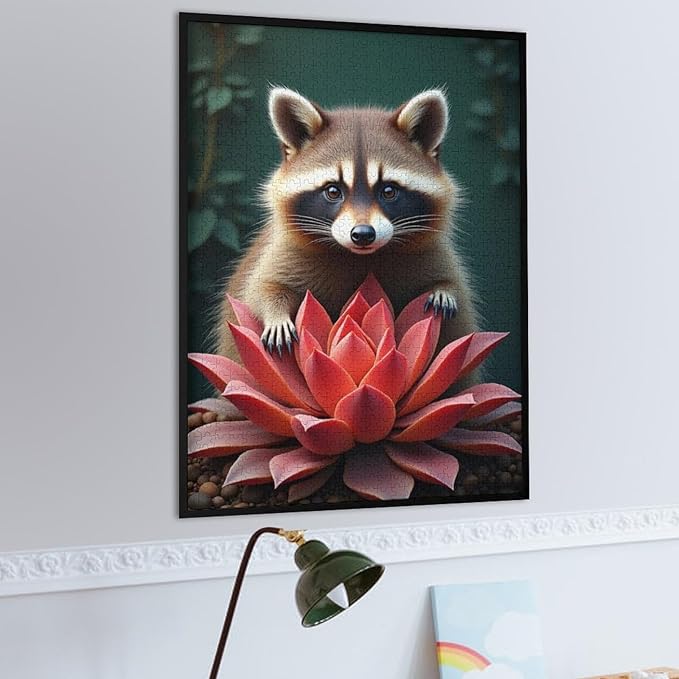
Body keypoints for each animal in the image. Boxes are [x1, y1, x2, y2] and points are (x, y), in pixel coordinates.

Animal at [215, 86, 479, 364]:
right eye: (333, 191)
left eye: (388, 191)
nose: (363, 234)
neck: (361, 257)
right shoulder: (280, 252)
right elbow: (260, 288)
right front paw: (275, 314)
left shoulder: (433, 253)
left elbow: (453, 286)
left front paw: (443, 291)